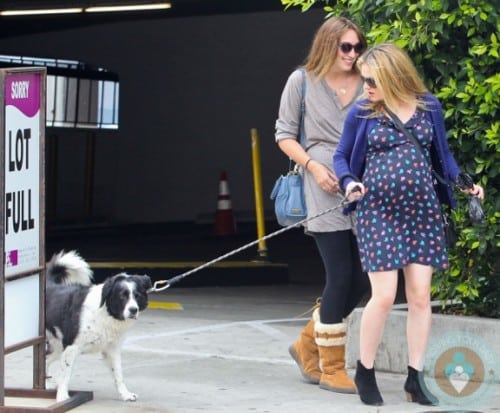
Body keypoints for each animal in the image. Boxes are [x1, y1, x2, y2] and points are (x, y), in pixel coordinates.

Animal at [46, 249, 152, 400]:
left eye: (137, 295)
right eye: (122, 295)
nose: (133, 310)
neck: (104, 312)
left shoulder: (112, 349)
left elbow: (118, 374)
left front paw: (125, 394)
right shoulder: (71, 348)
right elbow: (65, 375)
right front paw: (62, 397)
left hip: (58, 347)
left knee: (45, 359)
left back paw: (47, 383)